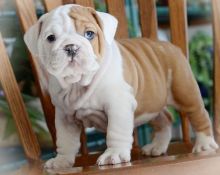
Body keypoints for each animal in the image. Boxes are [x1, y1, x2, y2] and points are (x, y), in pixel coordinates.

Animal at [24, 4, 218, 168]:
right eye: (51, 38)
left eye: (89, 34)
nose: (71, 47)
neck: (78, 83)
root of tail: (167, 45)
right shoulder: (64, 117)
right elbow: (65, 141)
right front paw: (61, 161)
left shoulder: (118, 105)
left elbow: (115, 131)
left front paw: (113, 155)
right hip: (150, 104)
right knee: (164, 118)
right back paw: (157, 146)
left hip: (184, 91)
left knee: (198, 115)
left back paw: (205, 144)